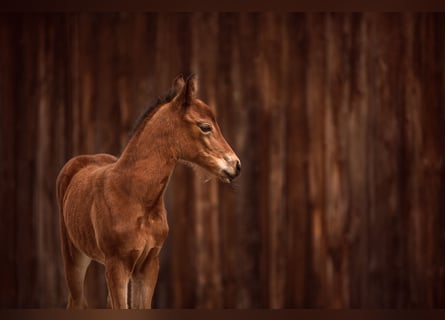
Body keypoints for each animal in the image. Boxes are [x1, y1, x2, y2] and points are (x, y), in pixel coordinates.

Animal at [58, 76, 243, 308]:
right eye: (205, 127)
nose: (236, 165)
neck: (135, 197)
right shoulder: (117, 264)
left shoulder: (148, 264)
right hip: (74, 257)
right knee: (76, 300)